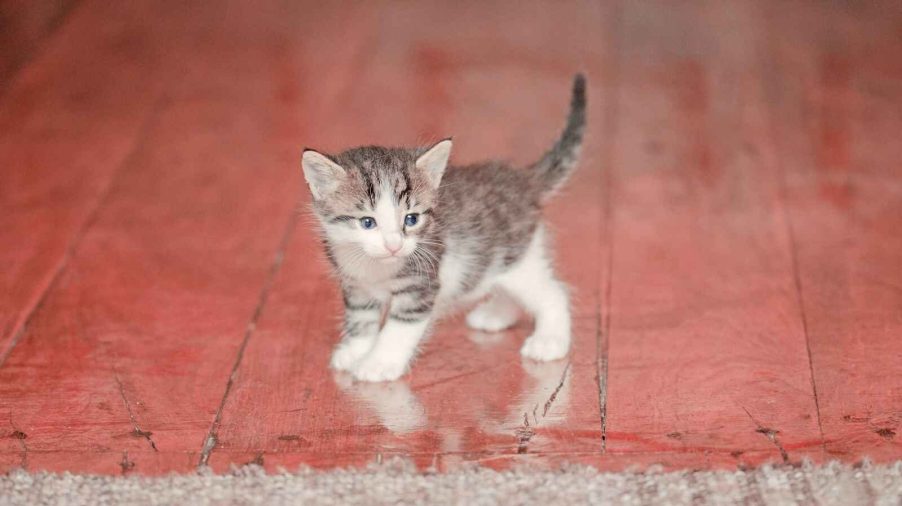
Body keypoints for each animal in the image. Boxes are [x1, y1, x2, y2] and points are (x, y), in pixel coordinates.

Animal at [302, 75, 588, 382]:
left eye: (411, 219)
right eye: (367, 222)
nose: (394, 245)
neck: (374, 268)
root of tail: (522, 179)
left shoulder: (420, 286)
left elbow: (398, 329)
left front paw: (378, 363)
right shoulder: (356, 286)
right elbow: (361, 318)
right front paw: (355, 351)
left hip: (517, 257)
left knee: (553, 292)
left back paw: (550, 341)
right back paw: (495, 315)